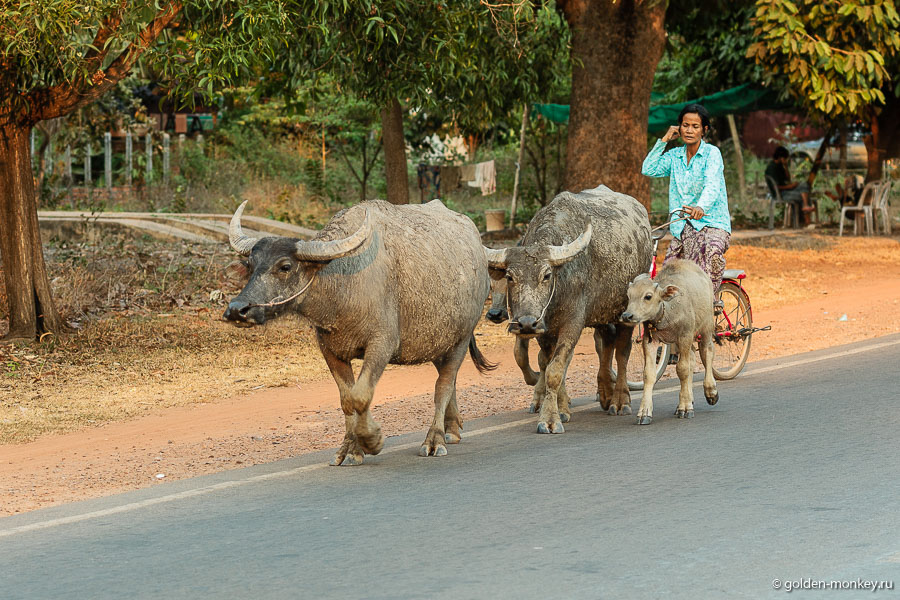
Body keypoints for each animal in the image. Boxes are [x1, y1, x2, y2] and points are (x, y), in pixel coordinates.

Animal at [223, 199, 492, 466]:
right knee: (448, 379)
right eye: (251, 266)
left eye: (285, 266)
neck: (345, 285)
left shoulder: (382, 344)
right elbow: (346, 400)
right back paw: (452, 428)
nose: (237, 310)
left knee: (443, 385)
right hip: (438, 342)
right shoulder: (330, 350)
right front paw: (350, 449)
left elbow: (361, 395)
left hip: (461, 338)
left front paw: (373, 440)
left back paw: (435, 439)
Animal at [482, 185, 652, 434]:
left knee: (622, 351)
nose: (526, 323)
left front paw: (550, 419)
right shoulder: (545, 330)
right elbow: (548, 364)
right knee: (606, 344)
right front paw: (561, 409)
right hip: (601, 313)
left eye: (546, 275)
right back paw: (604, 392)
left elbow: (555, 369)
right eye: (510, 277)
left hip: (626, 314)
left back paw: (620, 400)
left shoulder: (573, 322)